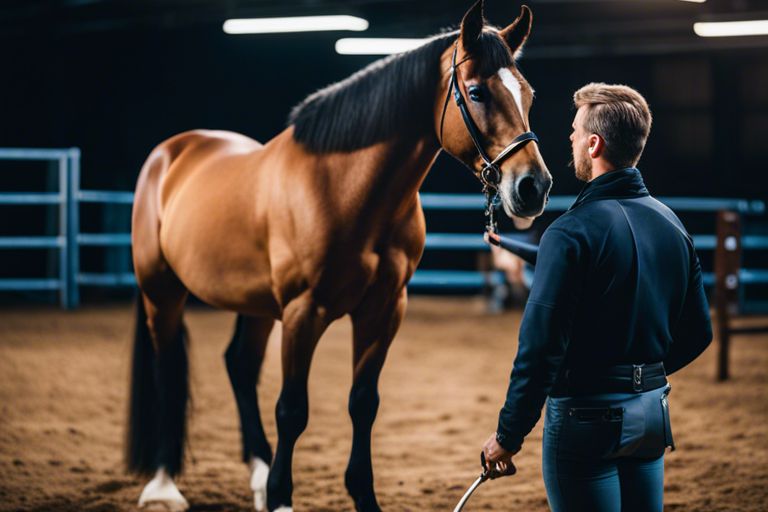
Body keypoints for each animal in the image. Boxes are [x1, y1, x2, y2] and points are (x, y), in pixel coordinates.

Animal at [127, 2, 552, 510]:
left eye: (527, 94)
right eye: (476, 92)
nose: (533, 187)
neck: (343, 190)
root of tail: (170, 153)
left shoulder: (383, 309)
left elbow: (363, 402)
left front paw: (360, 495)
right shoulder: (303, 311)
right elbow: (292, 410)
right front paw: (282, 498)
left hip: (255, 306)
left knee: (239, 367)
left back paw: (257, 474)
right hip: (163, 293)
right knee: (168, 372)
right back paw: (163, 485)